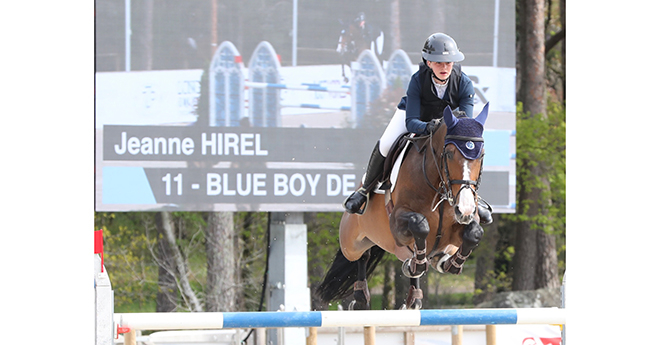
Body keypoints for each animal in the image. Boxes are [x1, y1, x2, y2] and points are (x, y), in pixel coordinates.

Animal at [318, 105, 492, 310]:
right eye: (449, 153)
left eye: (481, 155)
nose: (465, 209)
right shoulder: (397, 223)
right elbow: (420, 225)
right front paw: (417, 264)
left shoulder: (461, 225)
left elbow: (474, 233)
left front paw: (450, 263)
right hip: (351, 243)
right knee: (362, 255)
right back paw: (361, 299)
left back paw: (415, 296)